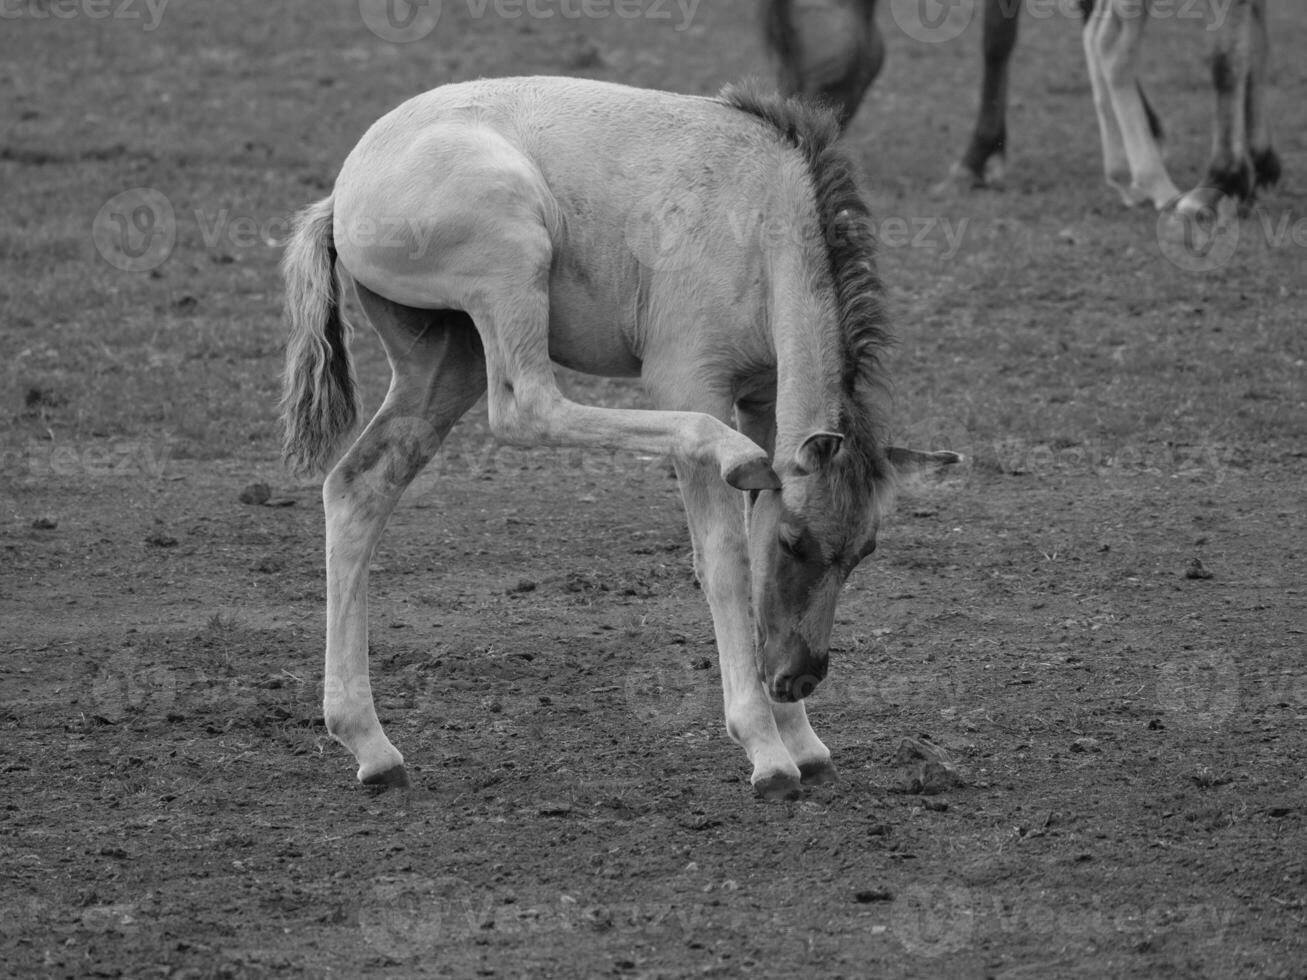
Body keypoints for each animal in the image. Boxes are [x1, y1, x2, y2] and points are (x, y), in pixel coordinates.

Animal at [283, 74, 961, 799]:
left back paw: (370, 745)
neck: (761, 217)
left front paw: (802, 741)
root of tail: (342, 194)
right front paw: (766, 750)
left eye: (863, 552)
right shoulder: (692, 383)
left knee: (358, 486)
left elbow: (752, 533)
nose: (798, 675)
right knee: (525, 407)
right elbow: (725, 560)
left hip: (446, 355)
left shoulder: (762, 398)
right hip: (512, 263)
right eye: (794, 543)